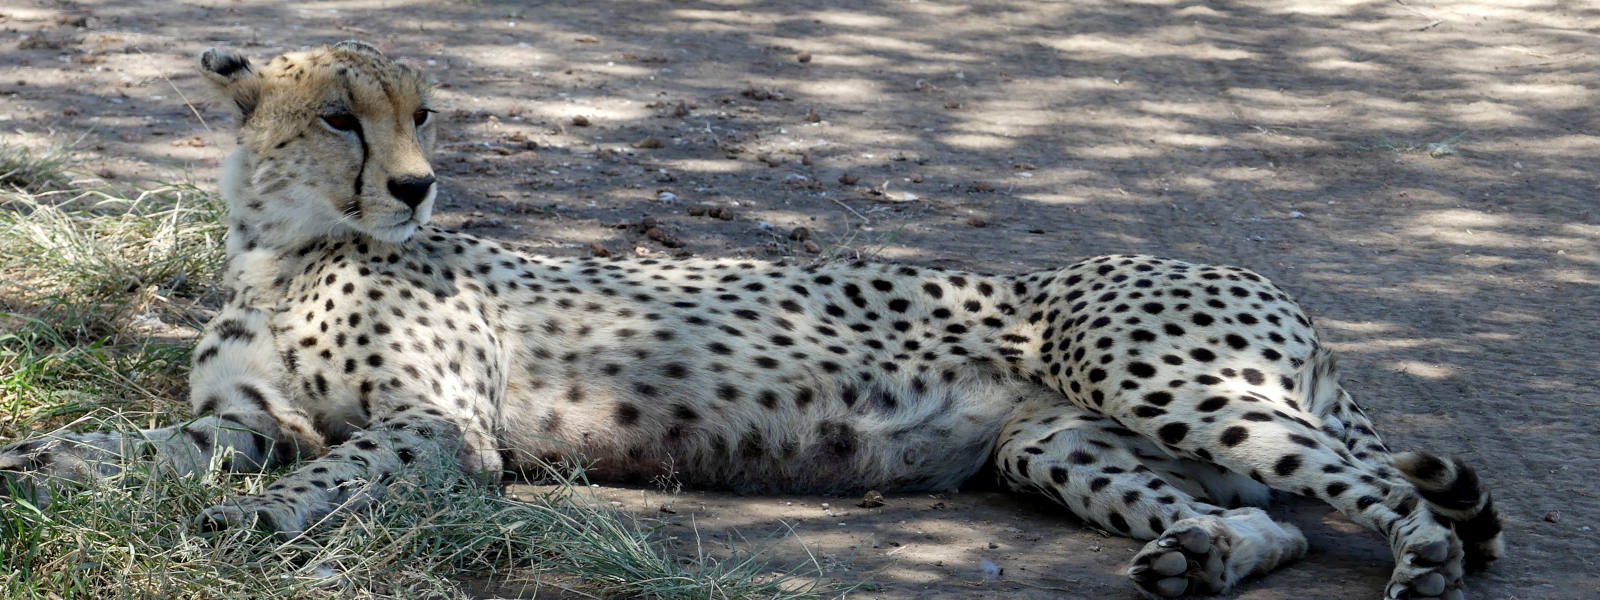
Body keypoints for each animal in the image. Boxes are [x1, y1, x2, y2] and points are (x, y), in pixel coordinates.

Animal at [0, 41, 1497, 598]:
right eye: (338, 118)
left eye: (421, 114)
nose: (420, 188)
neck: (283, 246)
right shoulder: (244, 424)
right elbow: (137, 448)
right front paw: (36, 464)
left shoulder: (441, 434)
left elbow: (332, 471)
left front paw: (250, 530)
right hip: (1058, 443)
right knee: (1276, 521)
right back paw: (1197, 557)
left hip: (1173, 382)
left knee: (1382, 489)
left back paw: (1429, 558)